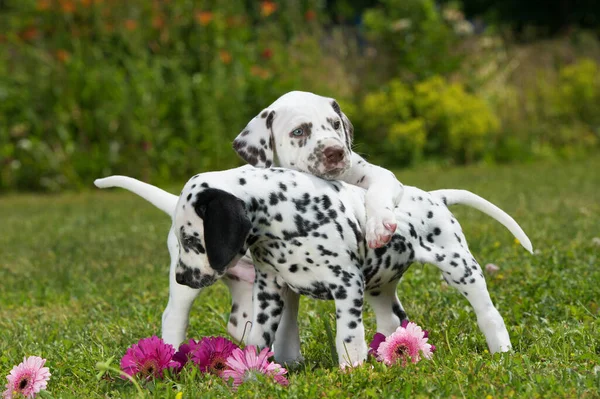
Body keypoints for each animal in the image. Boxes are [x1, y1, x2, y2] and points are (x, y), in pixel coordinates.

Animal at [96, 167, 532, 368]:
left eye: (193, 240)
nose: (182, 275)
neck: (287, 219)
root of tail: (433, 196)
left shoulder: (347, 288)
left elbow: (348, 337)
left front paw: (352, 370)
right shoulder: (270, 292)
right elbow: (260, 339)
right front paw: (252, 371)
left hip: (459, 267)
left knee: (487, 312)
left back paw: (501, 348)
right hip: (380, 288)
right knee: (393, 324)